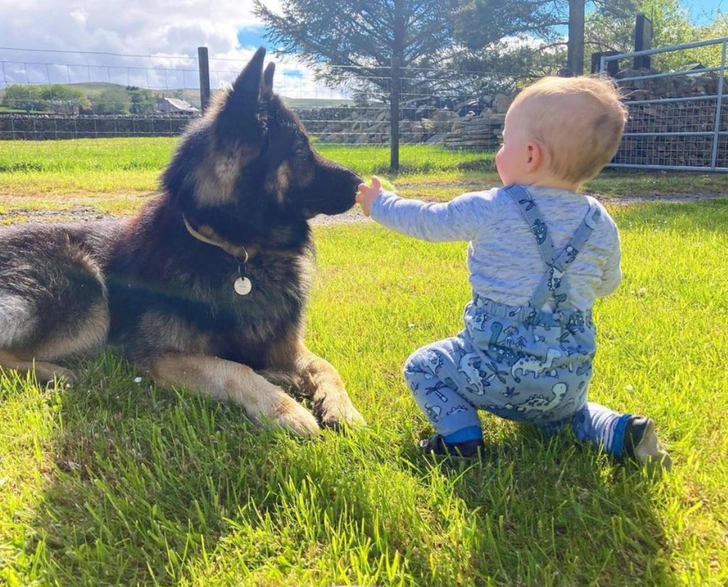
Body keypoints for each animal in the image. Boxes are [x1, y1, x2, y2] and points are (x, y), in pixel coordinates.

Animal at [0, 48, 364, 436]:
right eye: (301, 150)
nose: (361, 183)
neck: (237, 254)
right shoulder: (163, 356)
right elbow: (233, 368)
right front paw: (286, 409)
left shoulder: (285, 345)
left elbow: (325, 365)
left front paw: (341, 407)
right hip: (91, 302)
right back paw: (55, 372)